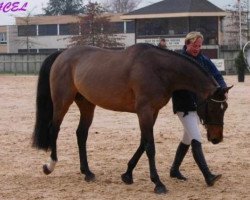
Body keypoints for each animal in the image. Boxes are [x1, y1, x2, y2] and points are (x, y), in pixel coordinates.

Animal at [32, 43, 228, 194]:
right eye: (212, 107)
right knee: (54, 129)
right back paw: (50, 166)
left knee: (81, 134)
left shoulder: (152, 112)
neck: (158, 69)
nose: (217, 138)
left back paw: (87, 172)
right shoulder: (145, 111)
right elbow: (150, 147)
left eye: (224, 107)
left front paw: (127, 174)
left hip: (87, 104)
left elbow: (143, 143)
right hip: (62, 102)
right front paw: (158, 183)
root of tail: (63, 54)